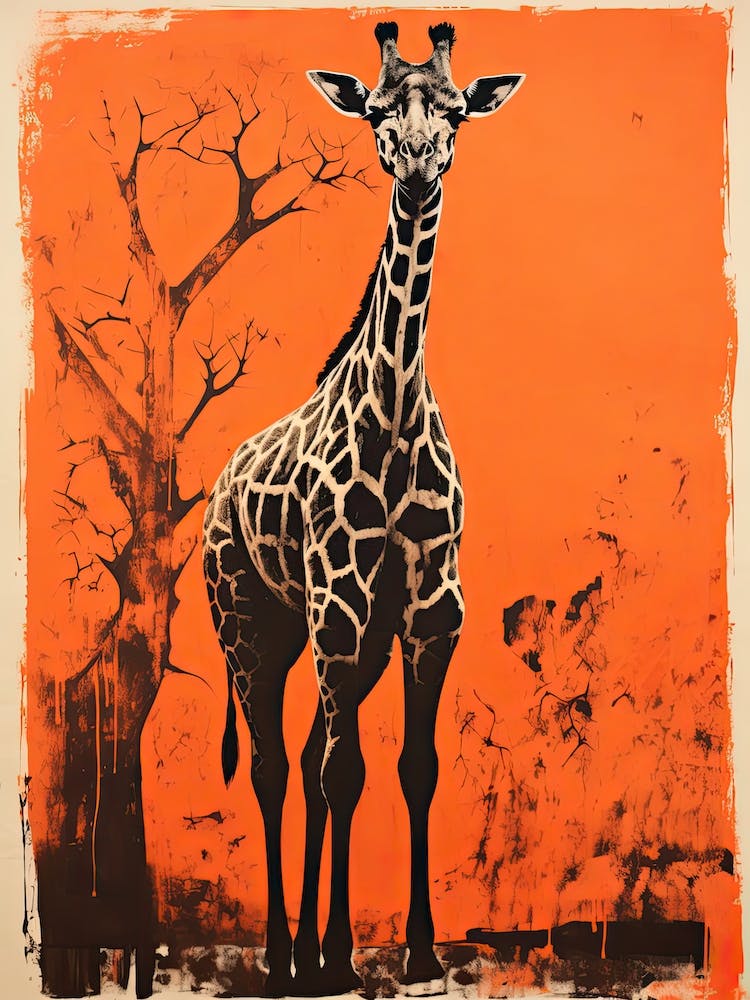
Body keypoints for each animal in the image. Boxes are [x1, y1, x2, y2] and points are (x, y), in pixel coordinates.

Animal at [202, 21, 523, 996]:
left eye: (454, 112)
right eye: (378, 112)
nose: (417, 166)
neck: (396, 405)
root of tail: (219, 485)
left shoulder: (427, 611)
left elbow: (411, 769)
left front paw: (413, 951)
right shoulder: (340, 600)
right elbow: (345, 774)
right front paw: (343, 954)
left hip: (347, 640)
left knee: (308, 758)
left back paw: (309, 951)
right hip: (254, 624)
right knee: (275, 766)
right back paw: (283, 956)